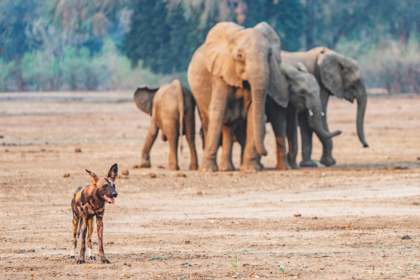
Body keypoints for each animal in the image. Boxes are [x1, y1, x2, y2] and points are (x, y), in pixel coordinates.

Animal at [189, 21, 288, 171]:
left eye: (269, 55)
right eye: (240, 56)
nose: (265, 153)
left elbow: (252, 111)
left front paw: (251, 169)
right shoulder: (220, 73)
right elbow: (218, 110)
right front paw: (207, 170)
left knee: (229, 124)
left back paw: (228, 168)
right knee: (212, 121)